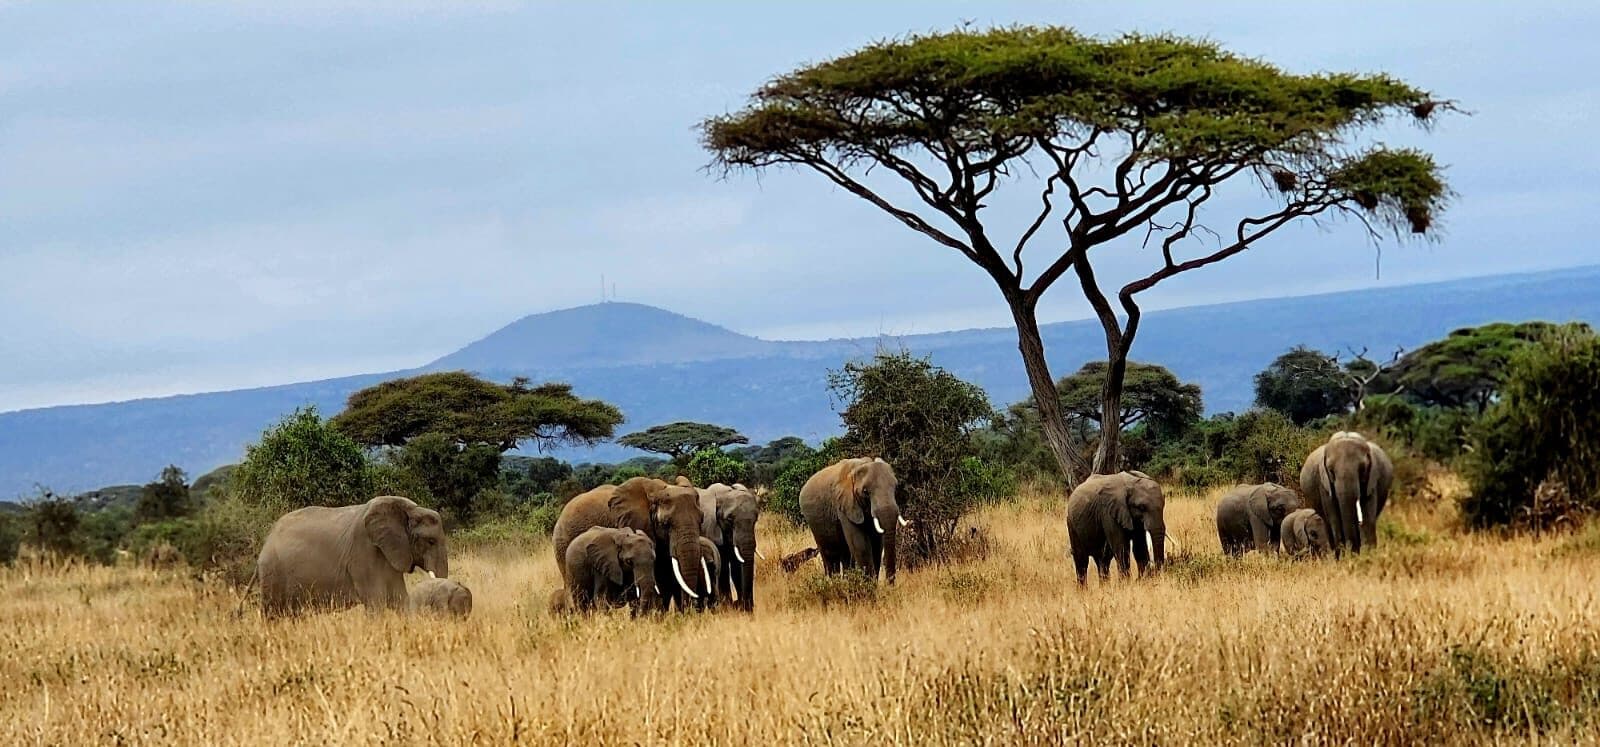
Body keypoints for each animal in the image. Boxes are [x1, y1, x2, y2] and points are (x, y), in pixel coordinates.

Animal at [256, 495, 447, 617]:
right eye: (431, 541)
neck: (408, 509)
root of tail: (267, 540)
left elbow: (400, 599)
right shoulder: (363, 553)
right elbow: (376, 602)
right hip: (273, 573)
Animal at [698, 482, 760, 611]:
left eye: (756, 519)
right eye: (729, 519)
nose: (749, 607)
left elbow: (737, 566)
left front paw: (742, 608)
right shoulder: (711, 530)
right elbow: (724, 567)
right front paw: (728, 606)